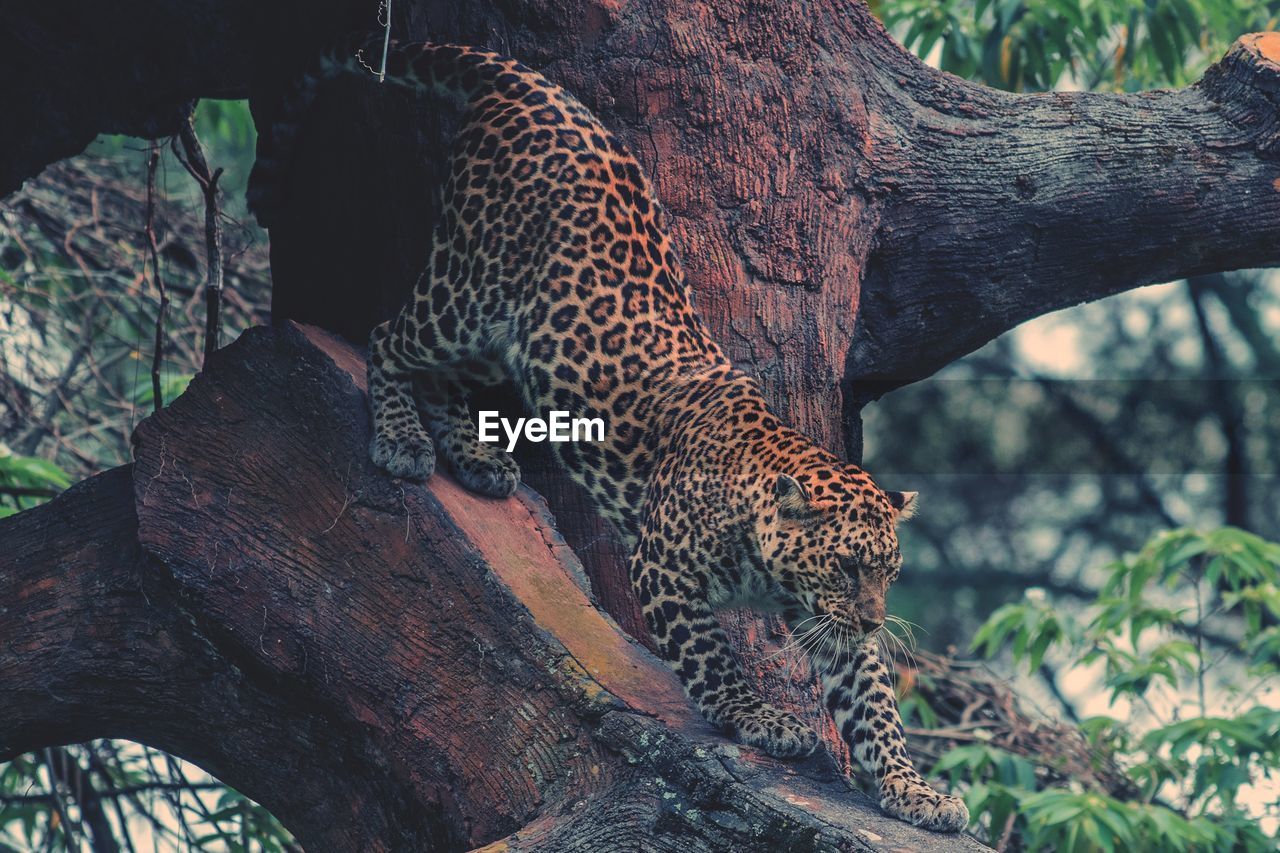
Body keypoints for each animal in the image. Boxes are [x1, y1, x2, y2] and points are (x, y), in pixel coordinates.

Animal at [249, 38, 967, 829]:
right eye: (845, 565)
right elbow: (713, 660)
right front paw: (761, 718)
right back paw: (402, 440)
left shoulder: (827, 626)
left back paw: (476, 457)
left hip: (511, 336)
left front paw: (914, 790)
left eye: (888, 572)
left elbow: (873, 706)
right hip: (468, 291)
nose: (875, 621)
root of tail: (531, 87)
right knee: (388, 337)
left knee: (444, 379)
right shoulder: (664, 570)